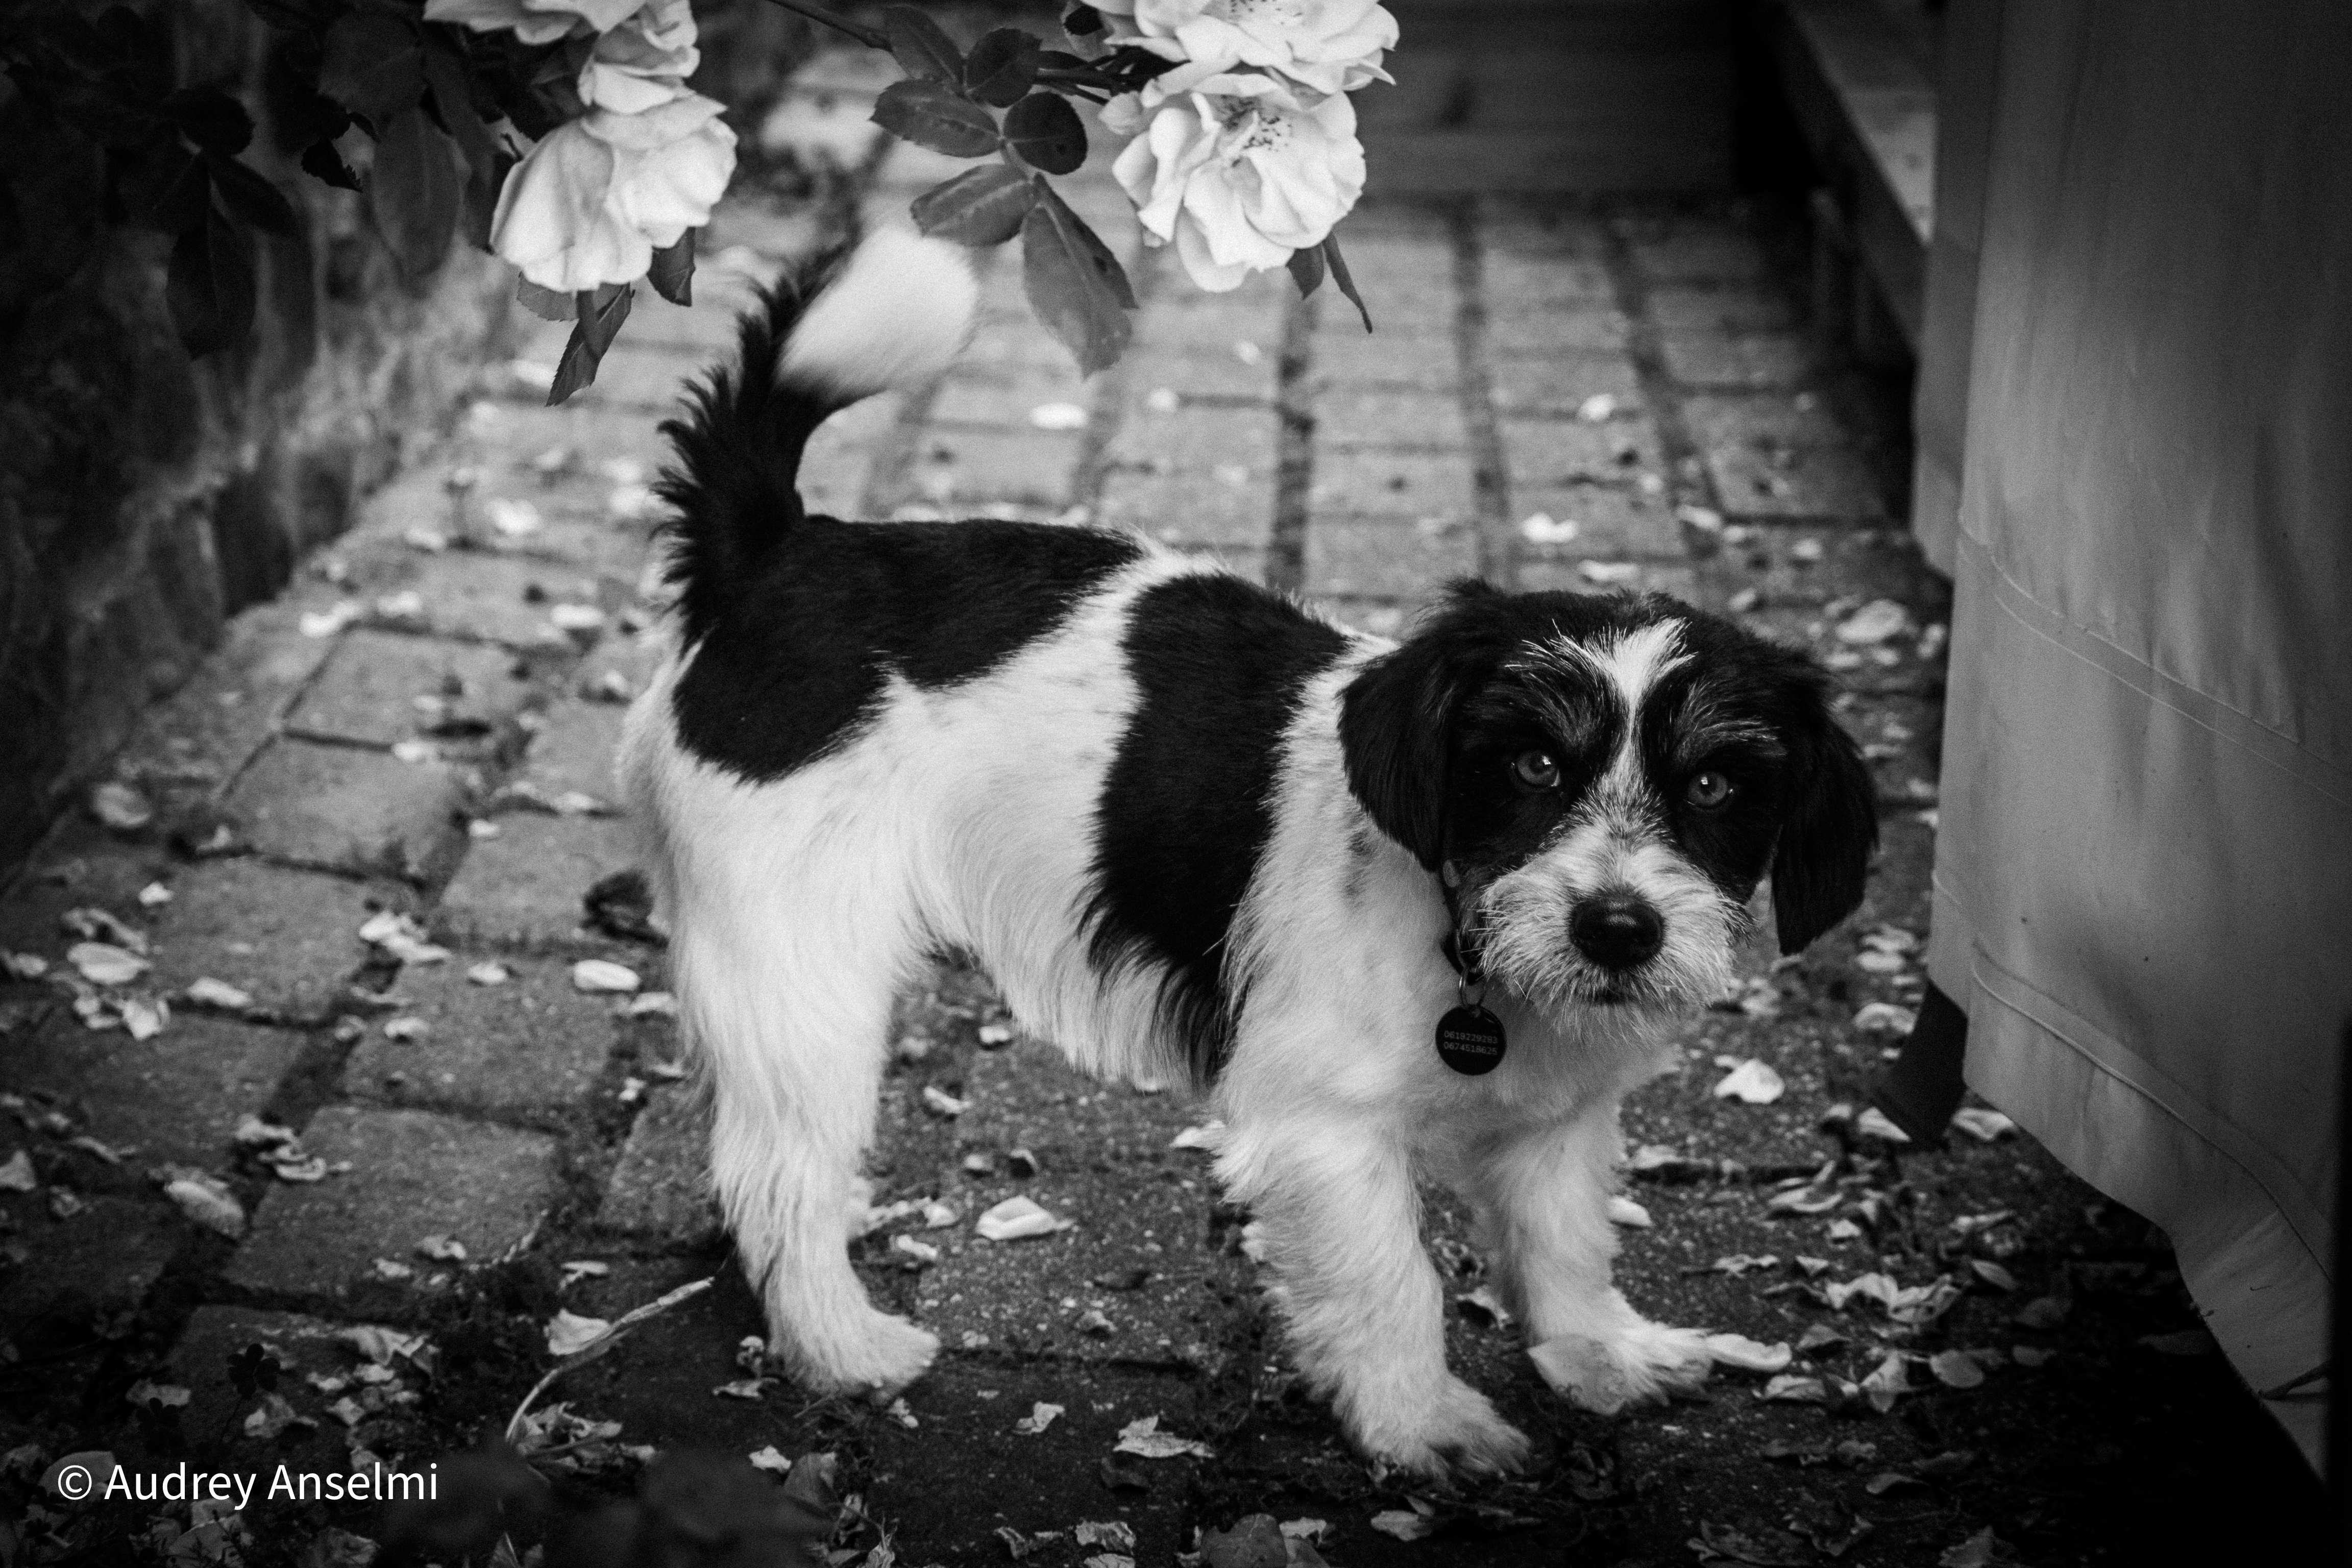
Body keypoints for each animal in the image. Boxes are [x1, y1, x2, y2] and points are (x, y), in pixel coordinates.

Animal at [621, 227, 1872, 1476]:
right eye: (1531, 767)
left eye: (1714, 784)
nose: (1616, 929)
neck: (1460, 938)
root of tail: (779, 556)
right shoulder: (1325, 1134)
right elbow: (1391, 1283)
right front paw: (1423, 1419)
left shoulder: (1553, 1130)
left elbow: (1564, 1245)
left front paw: (1599, 1355)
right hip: (805, 988)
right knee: (777, 1175)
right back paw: (840, 1344)